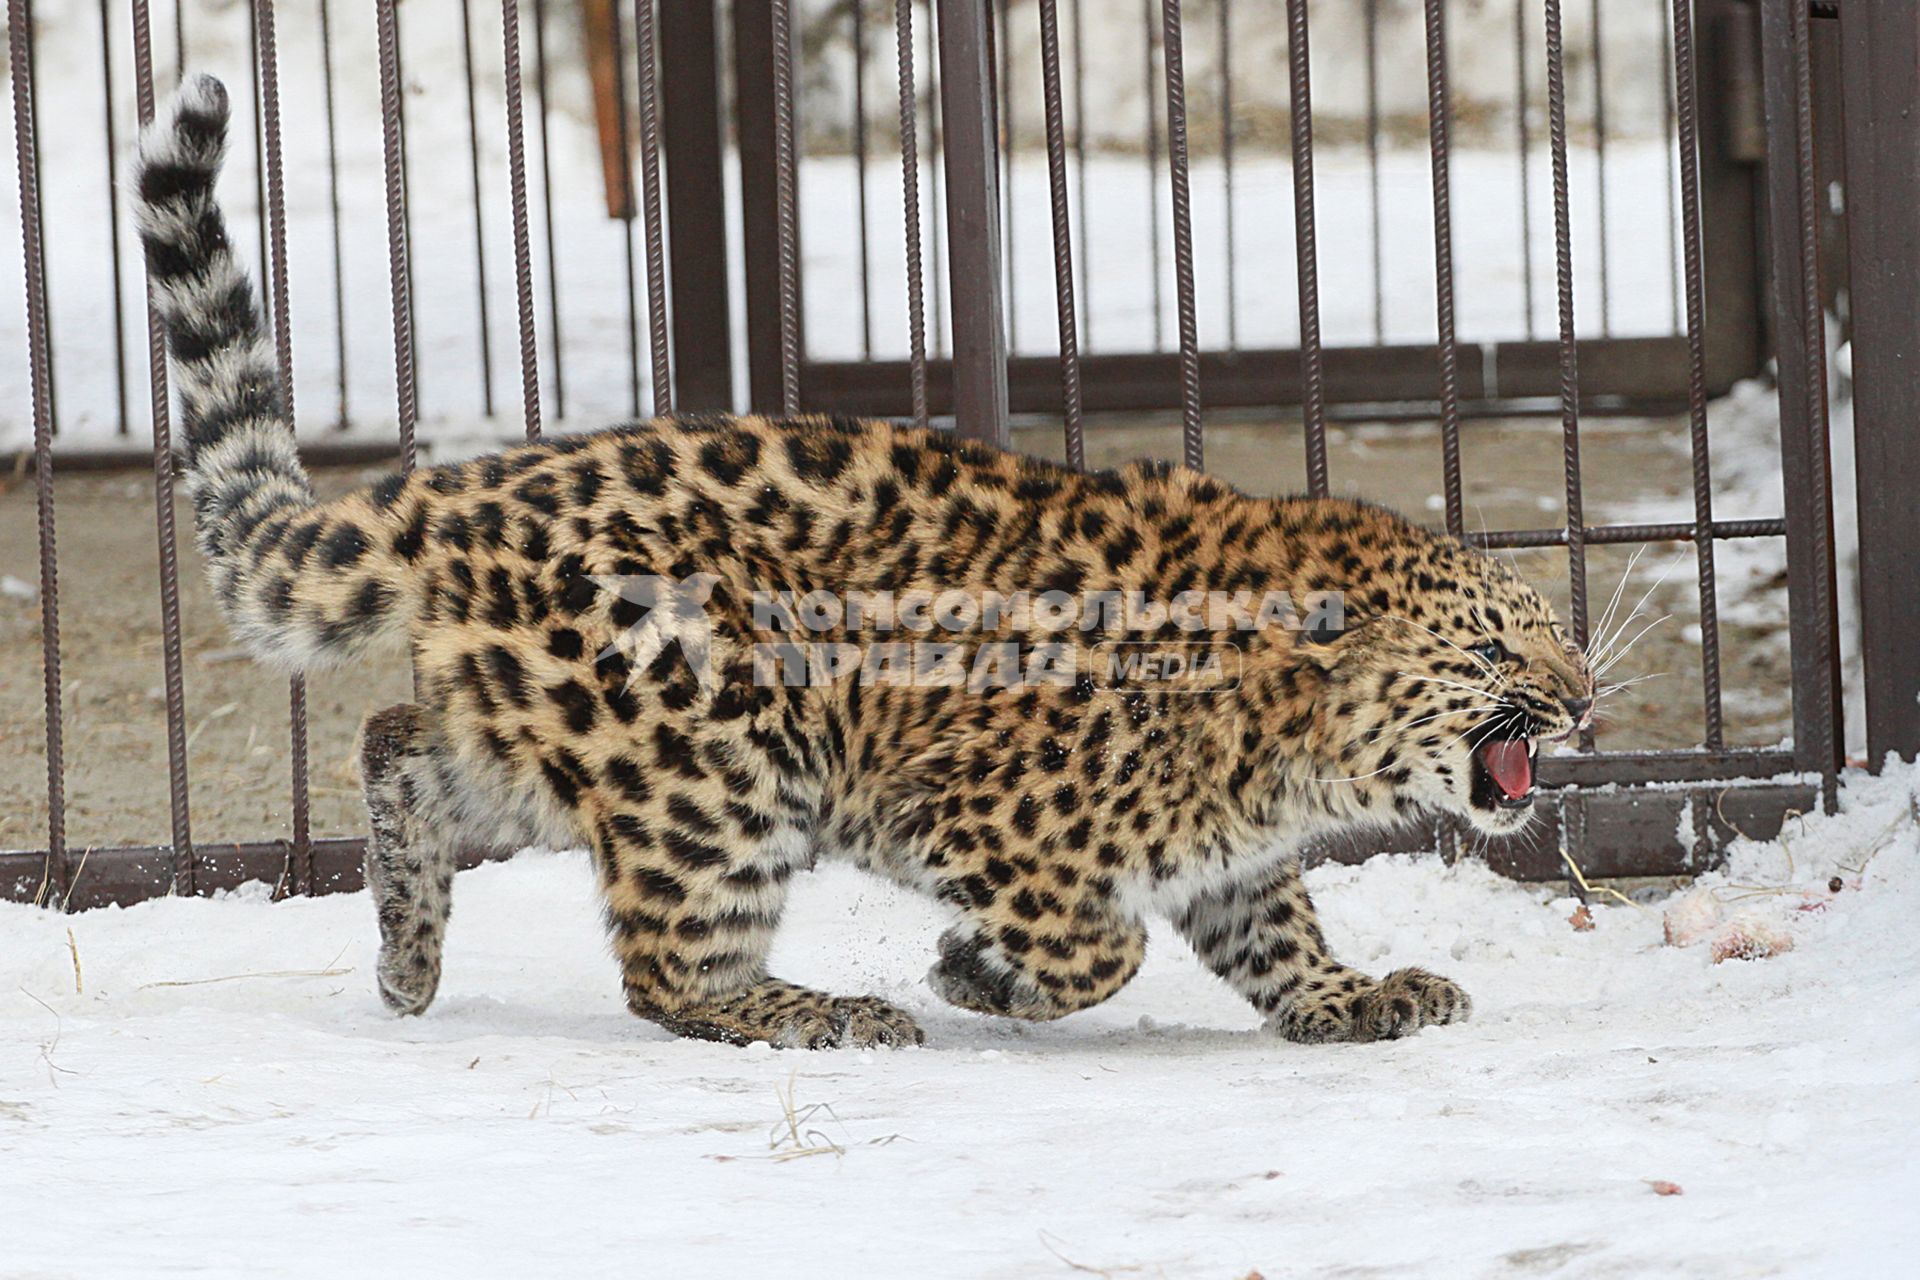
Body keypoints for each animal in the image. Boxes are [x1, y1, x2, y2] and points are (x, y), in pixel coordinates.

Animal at [142, 72, 1597, 1051]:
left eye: (1551, 629)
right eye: (1491, 647)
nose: (1584, 697)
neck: (1293, 740)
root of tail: (460, 488)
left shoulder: (1227, 849)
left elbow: (1273, 931)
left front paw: (1358, 995)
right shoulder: (968, 809)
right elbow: (1101, 945)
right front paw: (975, 974)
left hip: (554, 739)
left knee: (397, 741)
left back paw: (407, 958)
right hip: (711, 759)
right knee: (668, 969)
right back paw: (823, 1012)